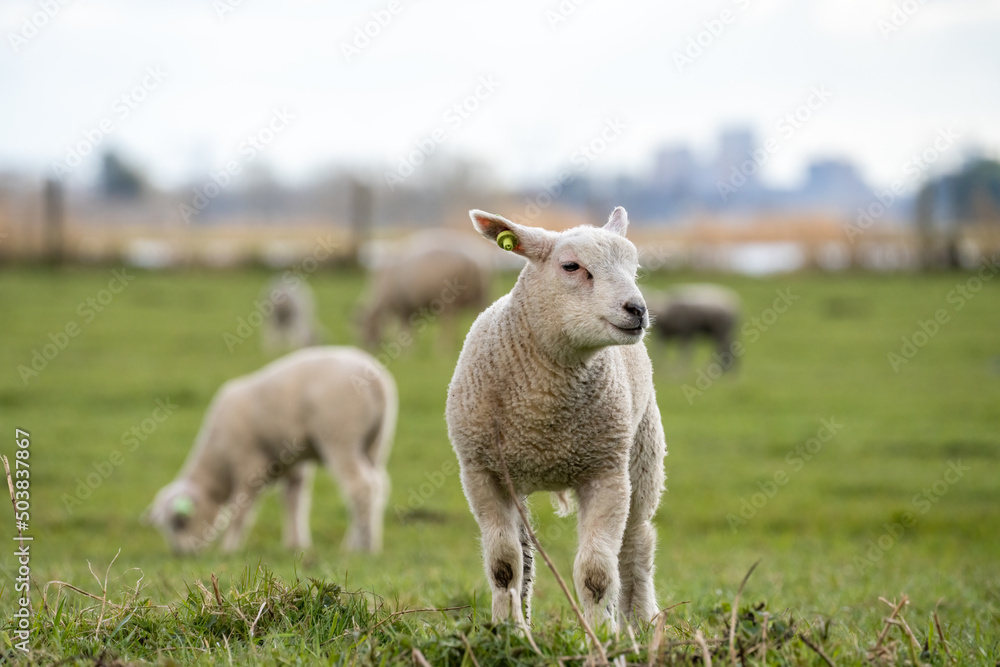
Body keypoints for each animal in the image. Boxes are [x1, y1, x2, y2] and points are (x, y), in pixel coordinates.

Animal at [146, 346, 396, 555]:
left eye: (180, 521)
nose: (181, 554)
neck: (219, 460)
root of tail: (376, 382)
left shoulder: (249, 465)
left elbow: (240, 512)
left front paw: (229, 550)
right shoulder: (292, 465)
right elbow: (293, 502)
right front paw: (295, 544)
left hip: (340, 434)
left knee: (359, 486)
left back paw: (364, 547)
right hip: (376, 442)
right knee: (377, 485)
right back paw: (361, 542)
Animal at [359, 231, 490, 349]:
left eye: (367, 326)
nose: (369, 347)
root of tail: (469, 263)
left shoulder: (403, 306)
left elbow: (404, 327)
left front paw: (408, 350)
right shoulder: (410, 306)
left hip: (448, 301)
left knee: (449, 323)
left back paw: (443, 347)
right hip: (480, 295)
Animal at [445, 207, 667, 631]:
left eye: (634, 268)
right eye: (571, 266)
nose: (637, 310)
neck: (543, 417)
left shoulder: (606, 473)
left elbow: (597, 573)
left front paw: (604, 636)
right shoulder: (481, 472)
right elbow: (504, 565)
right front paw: (508, 631)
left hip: (643, 456)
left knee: (636, 548)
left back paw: (643, 625)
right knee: (526, 554)